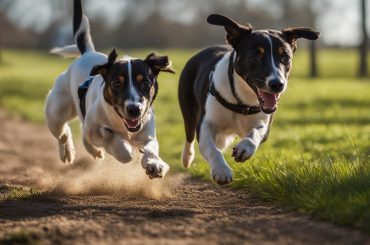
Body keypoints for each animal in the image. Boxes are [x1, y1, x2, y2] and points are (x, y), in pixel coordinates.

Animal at [45, 0, 175, 180]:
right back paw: (67, 152)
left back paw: (93, 152)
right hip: (56, 112)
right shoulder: (95, 129)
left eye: (145, 82)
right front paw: (123, 148)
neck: (121, 123)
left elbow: (151, 147)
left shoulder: (146, 132)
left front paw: (155, 164)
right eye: (116, 83)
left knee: (81, 136)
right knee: (63, 134)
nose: (134, 109)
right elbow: (120, 149)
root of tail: (87, 53)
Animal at [178, 14, 320, 185]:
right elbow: (212, 149)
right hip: (188, 109)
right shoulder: (206, 124)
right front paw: (221, 169)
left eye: (285, 57)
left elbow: (255, 133)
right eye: (255, 57)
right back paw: (187, 158)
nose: (277, 84)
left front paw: (245, 148)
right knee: (189, 135)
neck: (241, 101)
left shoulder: (264, 122)